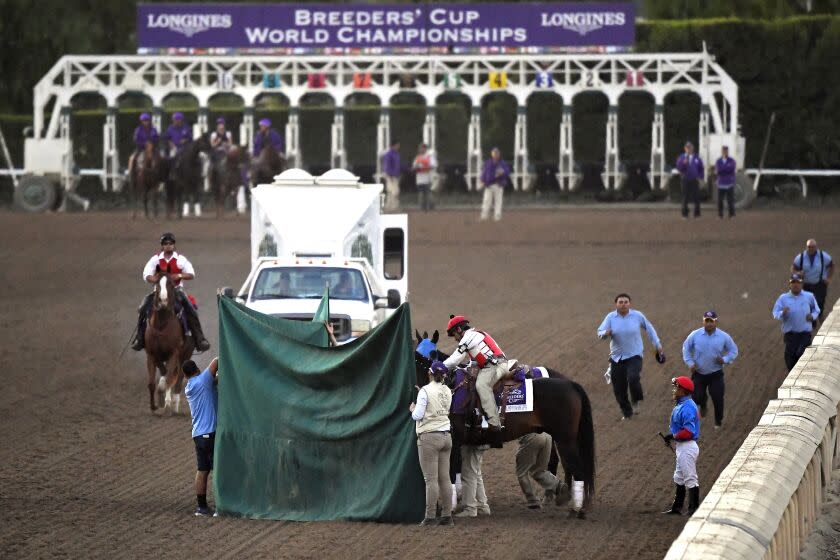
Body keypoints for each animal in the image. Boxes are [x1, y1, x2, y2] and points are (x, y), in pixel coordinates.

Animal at [147, 274, 196, 414]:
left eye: (170, 284)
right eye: (157, 284)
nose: (163, 300)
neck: (161, 326)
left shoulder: (174, 353)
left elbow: (170, 377)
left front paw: (164, 401)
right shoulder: (151, 354)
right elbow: (153, 382)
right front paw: (154, 406)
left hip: (186, 355)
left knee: (179, 377)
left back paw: (174, 404)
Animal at [416, 330, 592, 520]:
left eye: (432, 353)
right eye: (416, 351)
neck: (453, 388)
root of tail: (571, 384)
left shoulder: (454, 441)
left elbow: (450, 473)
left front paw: (450, 509)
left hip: (564, 438)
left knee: (575, 468)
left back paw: (574, 508)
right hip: (562, 438)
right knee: (568, 466)